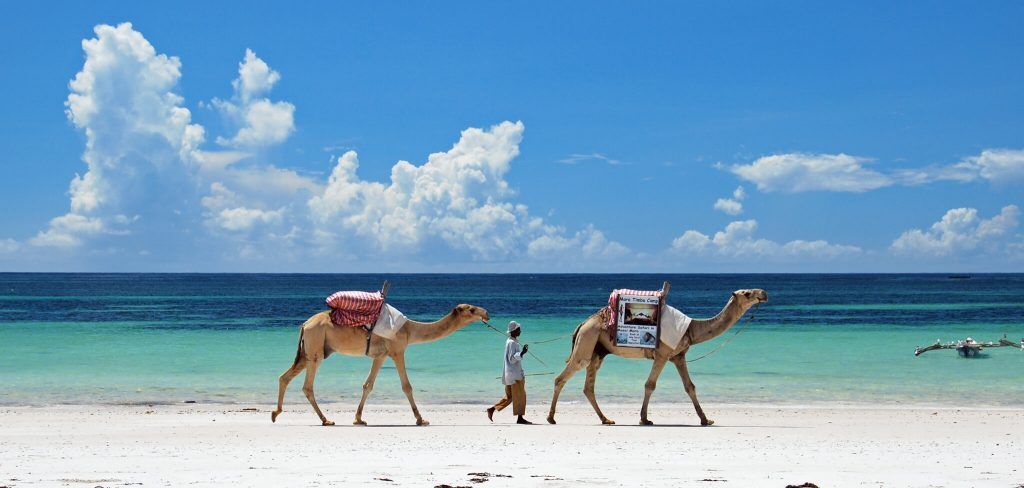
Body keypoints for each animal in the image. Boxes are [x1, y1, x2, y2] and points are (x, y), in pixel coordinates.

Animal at [272, 303, 489, 426]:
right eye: (471, 309)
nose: (486, 313)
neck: (410, 329)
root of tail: (304, 324)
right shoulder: (398, 350)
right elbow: (407, 386)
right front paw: (421, 419)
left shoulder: (381, 355)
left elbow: (368, 385)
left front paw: (359, 419)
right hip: (316, 349)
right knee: (307, 386)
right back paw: (326, 420)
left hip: (307, 352)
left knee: (284, 377)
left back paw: (275, 413)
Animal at [547, 288, 767, 426]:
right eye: (747, 293)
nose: (763, 293)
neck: (691, 329)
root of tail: (582, 324)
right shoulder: (663, 353)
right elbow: (650, 385)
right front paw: (644, 419)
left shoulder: (678, 356)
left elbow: (690, 386)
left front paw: (706, 420)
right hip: (587, 341)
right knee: (562, 377)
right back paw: (551, 418)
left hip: (597, 351)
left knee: (588, 386)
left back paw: (606, 419)